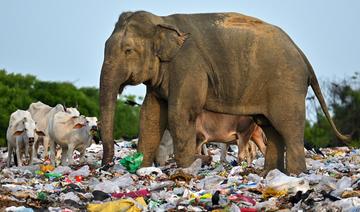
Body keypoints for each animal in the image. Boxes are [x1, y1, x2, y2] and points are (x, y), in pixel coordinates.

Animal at [99, 10, 348, 175]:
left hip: (287, 84)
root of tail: (302, 54)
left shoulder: (189, 65)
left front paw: (185, 171)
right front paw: (142, 170)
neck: (163, 20)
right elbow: (150, 115)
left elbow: (180, 113)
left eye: (128, 50)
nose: (105, 167)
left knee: (288, 128)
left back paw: (295, 175)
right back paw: (269, 175)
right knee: (270, 127)